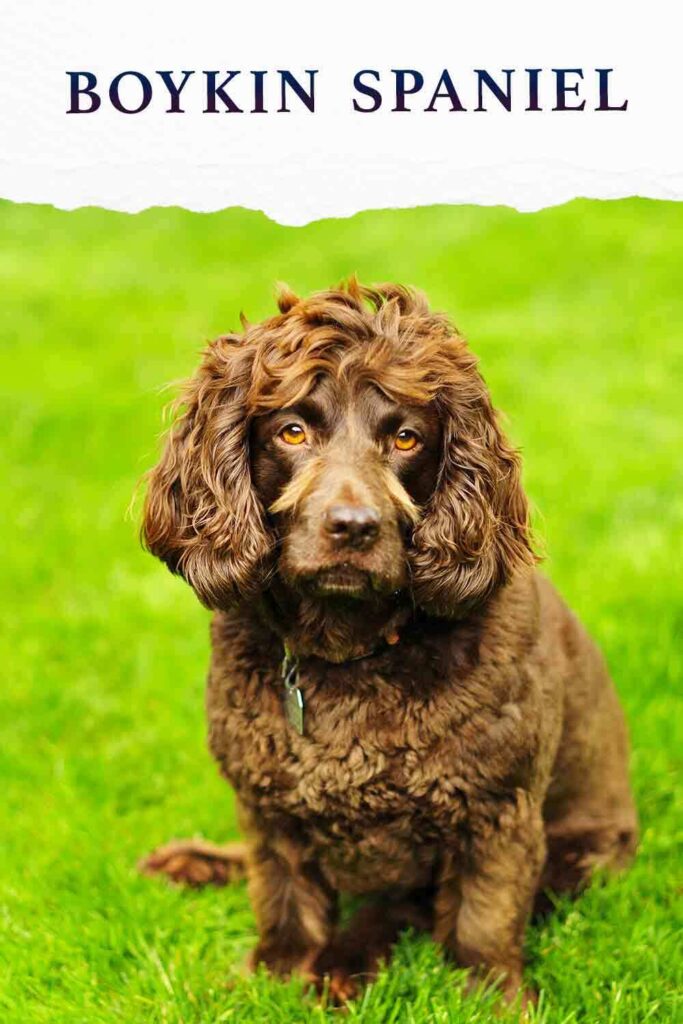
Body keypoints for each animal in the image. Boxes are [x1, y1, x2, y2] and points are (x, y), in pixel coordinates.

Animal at [141, 280, 638, 1007]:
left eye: (405, 437)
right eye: (292, 430)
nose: (353, 526)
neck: (348, 655)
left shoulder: (497, 810)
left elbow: (482, 919)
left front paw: (494, 1000)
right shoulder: (266, 804)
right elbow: (282, 896)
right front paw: (273, 973)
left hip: (584, 851)